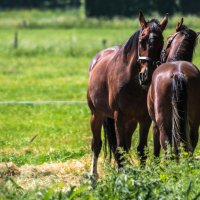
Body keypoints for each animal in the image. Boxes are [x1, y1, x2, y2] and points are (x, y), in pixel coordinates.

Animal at [87, 11, 167, 177]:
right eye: (142, 40)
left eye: (161, 42)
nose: (146, 75)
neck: (132, 82)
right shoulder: (119, 116)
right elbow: (119, 149)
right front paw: (122, 176)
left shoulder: (144, 119)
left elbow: (141, 149)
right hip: (96, 114)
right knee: (96, 144)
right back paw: (93, 177)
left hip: (131, 122)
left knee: (127, 144)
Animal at [147, 17, 200, 158]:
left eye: (168, 38)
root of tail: (178, 73)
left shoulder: (154, 124)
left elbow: (156, 149)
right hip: (194, 122)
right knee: (190, 143)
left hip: (162, 122)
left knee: (166, 144)